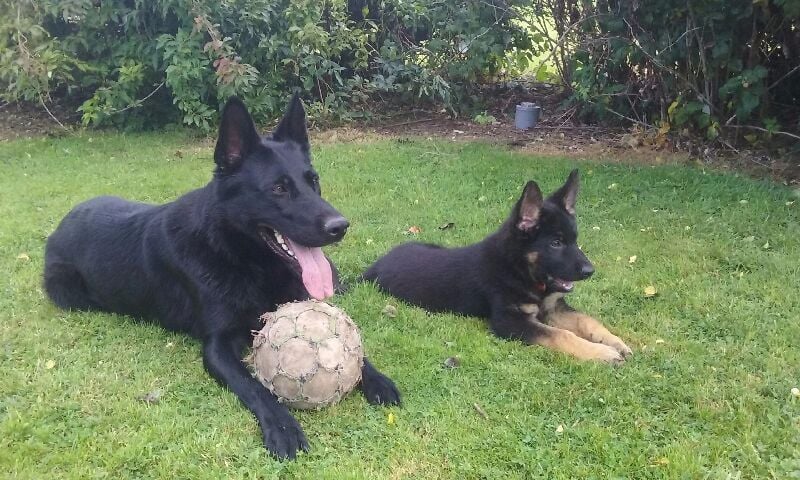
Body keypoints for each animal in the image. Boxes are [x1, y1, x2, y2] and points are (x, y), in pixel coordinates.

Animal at [43, 95, 400, 460]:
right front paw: (283, 426)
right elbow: (255, 386)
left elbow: (355, 349)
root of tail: (63, 222)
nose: (340, 227)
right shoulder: (218, 347)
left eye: (312, 181)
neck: (240, 258)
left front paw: (376, 379)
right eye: (278, 189)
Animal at [362, 172, 632, 364]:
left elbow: (587, 321)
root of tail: (375, 265)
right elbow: (562, 334)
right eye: (556, 243)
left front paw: (615, 342)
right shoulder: (509, 321)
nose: (590, 271)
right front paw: (602, 353)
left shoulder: (553, 307)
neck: (518, 269)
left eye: (575, 240)